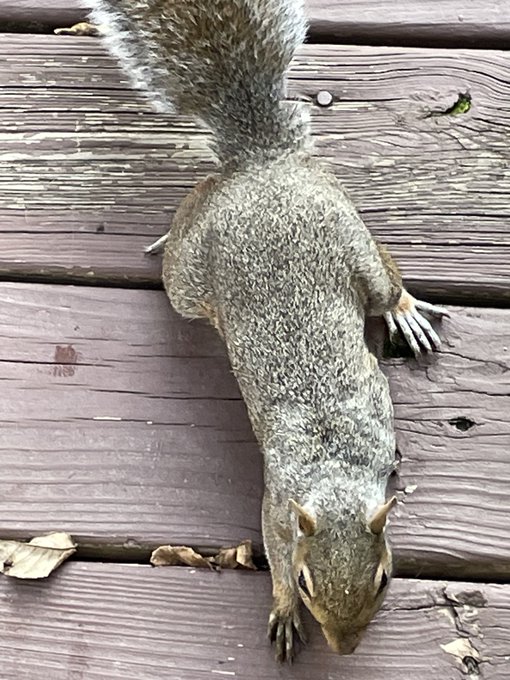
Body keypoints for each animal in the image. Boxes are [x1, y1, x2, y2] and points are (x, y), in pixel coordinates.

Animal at [75, 0, 449, 663]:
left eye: (385, 577)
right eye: (303, 580)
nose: (345, 648)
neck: (334, 472)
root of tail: (263, 165)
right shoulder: (277, 509)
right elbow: (270, 551)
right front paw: (281, 610)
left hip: (351, 242)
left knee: (385, 283)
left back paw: (403, 308)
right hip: (189, 285)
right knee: (196, 204)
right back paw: (171, 232)